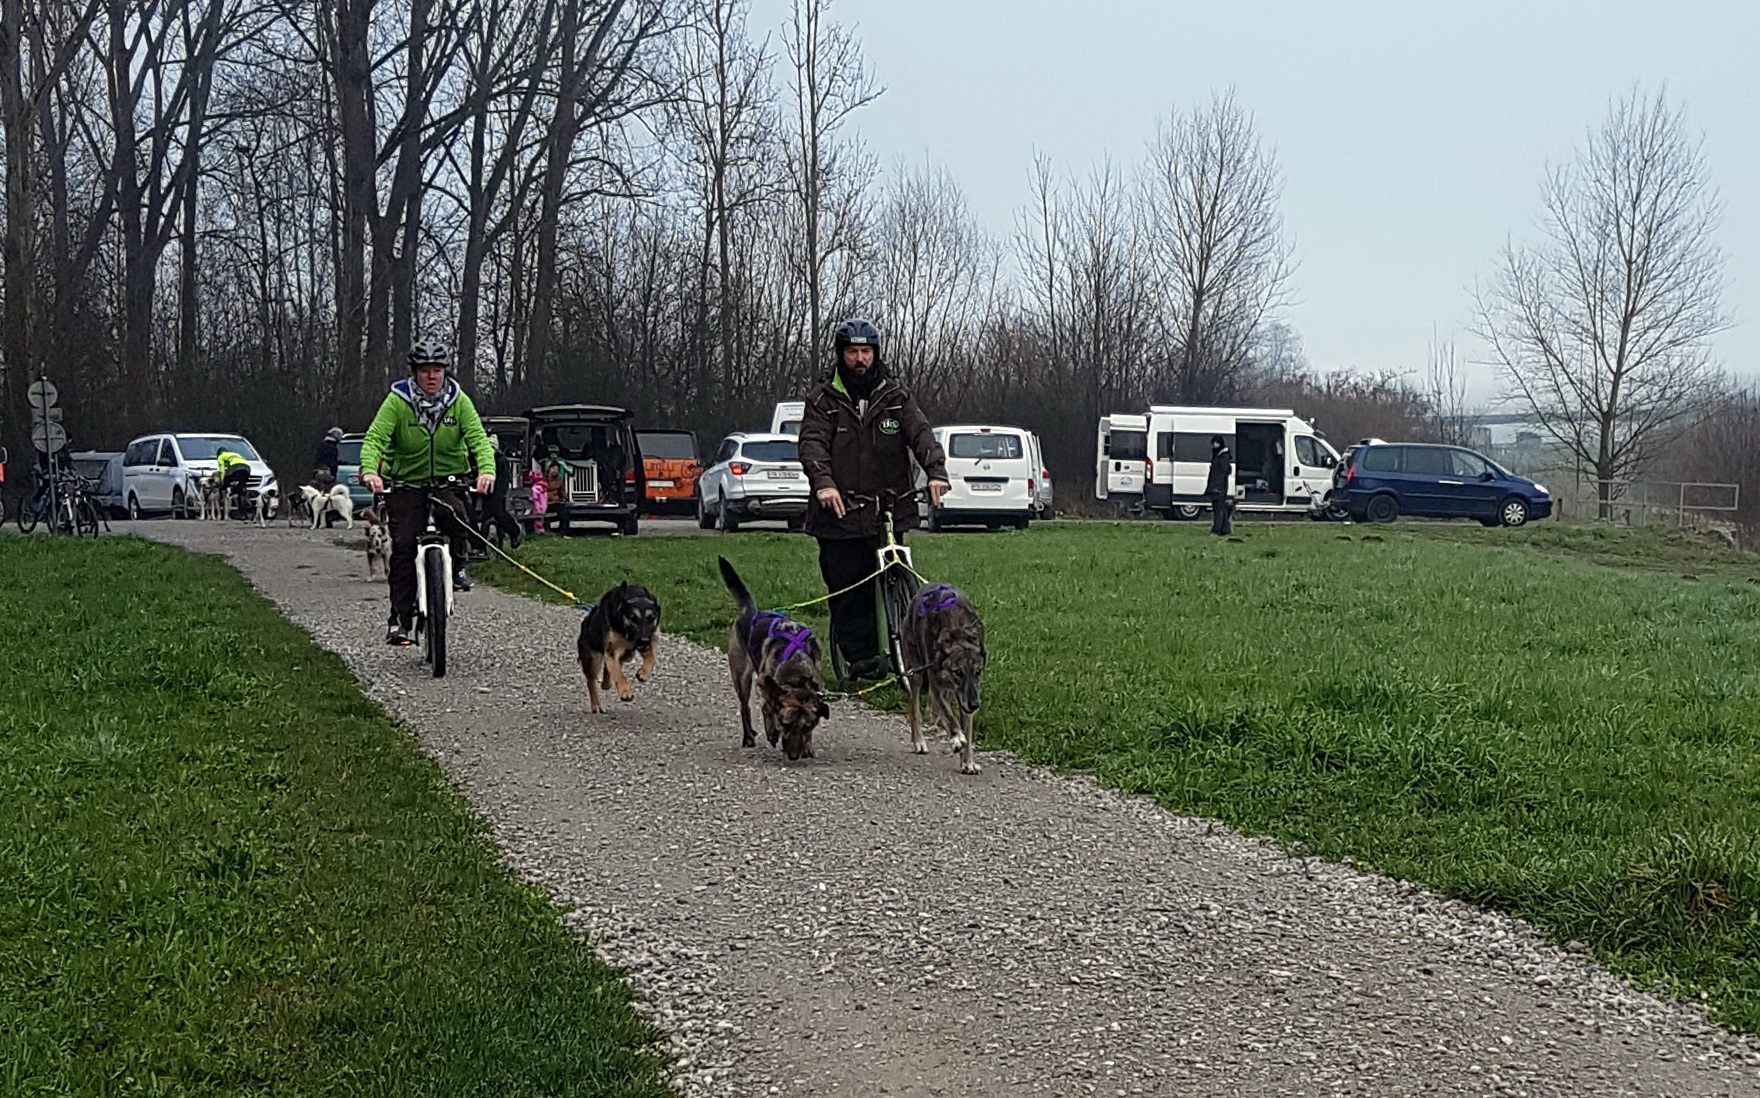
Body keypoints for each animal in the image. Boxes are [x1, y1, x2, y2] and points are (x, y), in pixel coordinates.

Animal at [577, 581, 662, 713]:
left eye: (651, 618)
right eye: (633, 618)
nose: (644, 641)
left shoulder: (650, 639)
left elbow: (652, 658)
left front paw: (643, 673)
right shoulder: (612, 650)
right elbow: (619, 674)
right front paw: (625, 692)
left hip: (625, 655)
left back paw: (607, 683)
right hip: (593, 659)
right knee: (591, 680)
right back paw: (596, 705)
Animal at [718, 556, 829, 760]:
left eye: (807, 727)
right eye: (785, 723)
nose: (793, 756)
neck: (797, 673)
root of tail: (751, 612)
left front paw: (808, 746)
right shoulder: (763, 683)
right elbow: (768, 708)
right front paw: (771, 731)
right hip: (741, 676)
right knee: (745, 707)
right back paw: (749, 737)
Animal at [899, 582, 987, 774]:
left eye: (977, 672)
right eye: (958, 672)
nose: (975, 705)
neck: (957, 632)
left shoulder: (966, 697)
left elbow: (967, 729)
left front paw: (968, 762)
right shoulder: (936, 683)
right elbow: (948, 713)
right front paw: (956, 738)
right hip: (915, 672)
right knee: (915, 708)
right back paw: (919, 741)